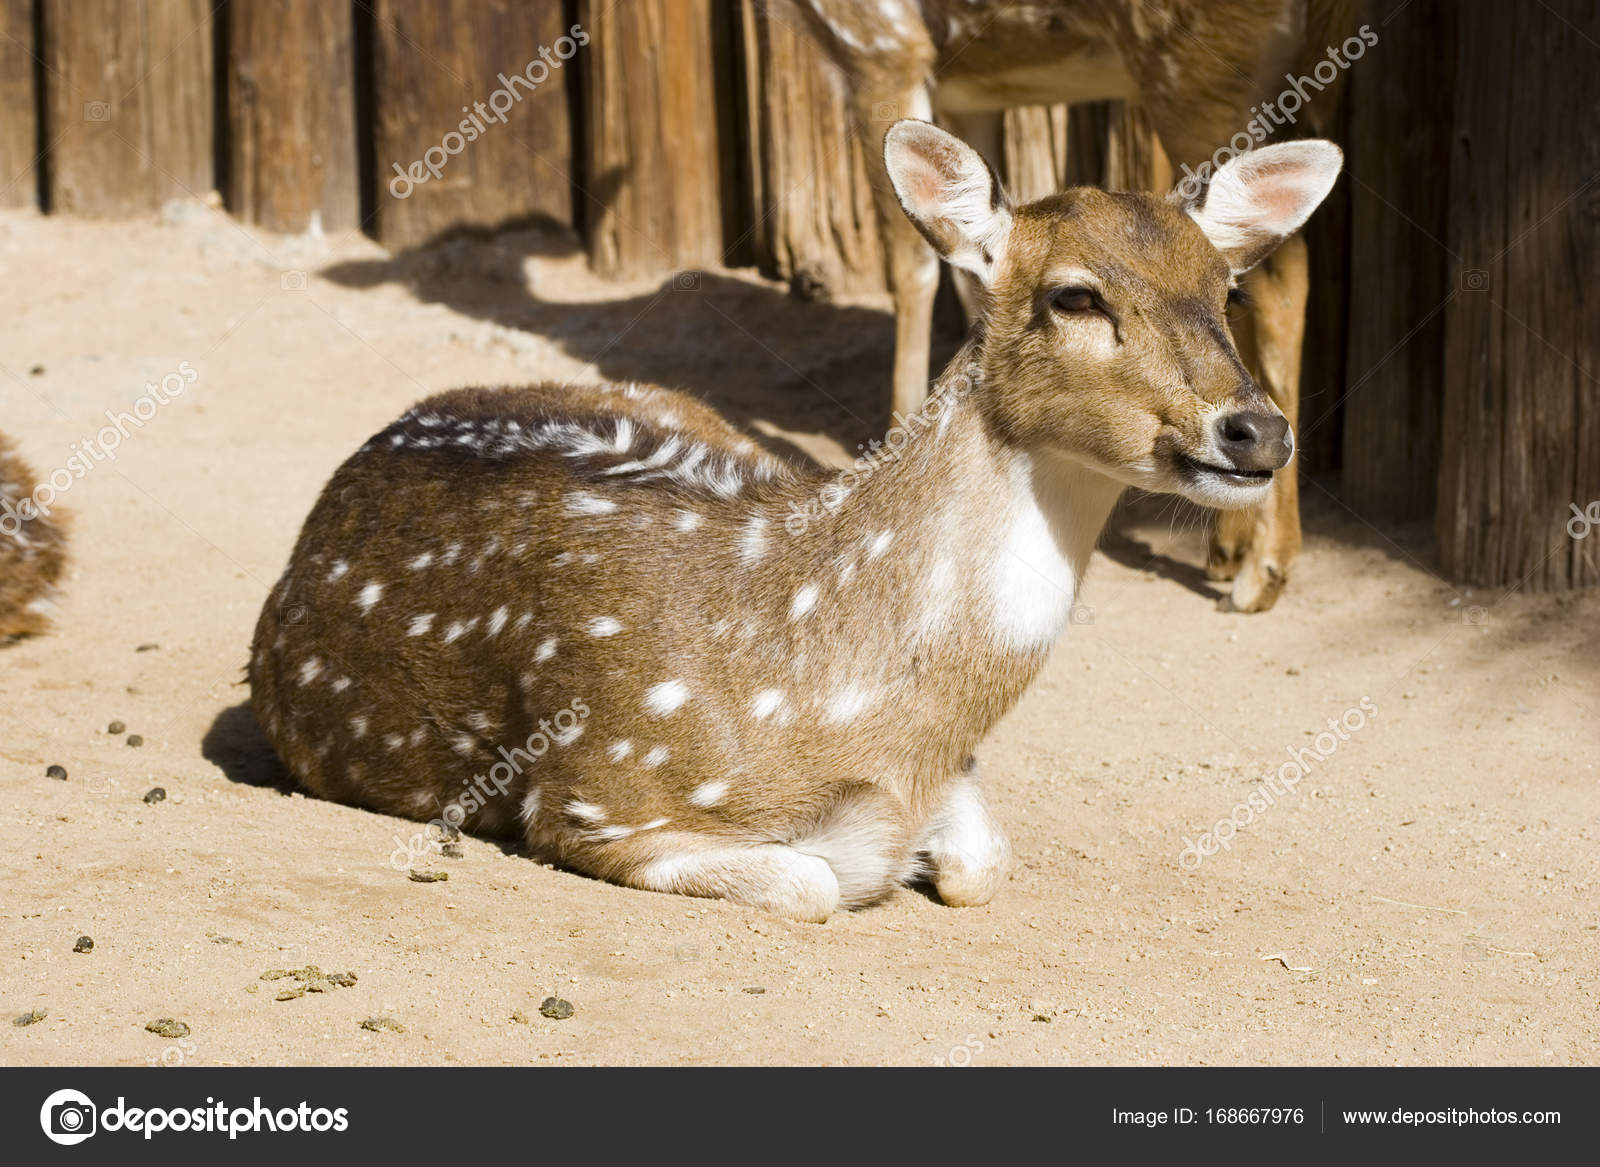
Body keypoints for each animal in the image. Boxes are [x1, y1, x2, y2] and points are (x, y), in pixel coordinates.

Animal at [250, 122, 1340, 921]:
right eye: (1075, 294)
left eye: (1225, 288)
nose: (1256, 429)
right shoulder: (594, 793)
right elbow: (813, 882)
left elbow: (982, 861)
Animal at [792, 0, 1358, 612]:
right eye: (1075, 298)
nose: (1266, 435)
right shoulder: (968, 92)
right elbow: (973, 273)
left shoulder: (882, 42)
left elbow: (911, 266)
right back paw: (1229, 548)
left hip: (1203, 71)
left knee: (1283, 275)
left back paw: (1261, 569)